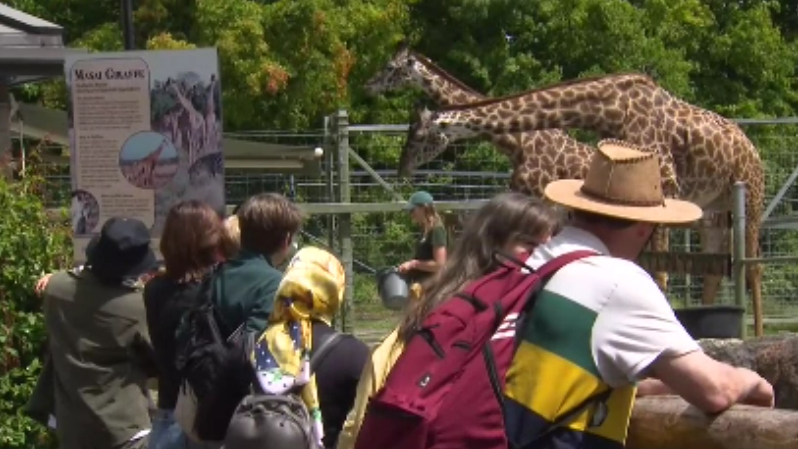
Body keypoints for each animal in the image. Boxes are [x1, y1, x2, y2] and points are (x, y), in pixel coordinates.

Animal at [410, 72, 764, 334]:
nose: (403, 168)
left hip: (749, 198)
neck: (612, 107)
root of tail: (752, 147)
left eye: (419, 135)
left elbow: (657, 268)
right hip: (713, 210)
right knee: (717, 267)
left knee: (751, 265)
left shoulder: (665, 183)